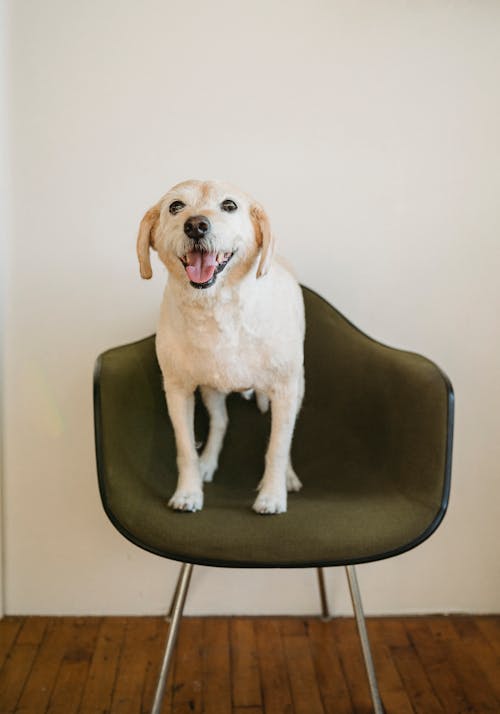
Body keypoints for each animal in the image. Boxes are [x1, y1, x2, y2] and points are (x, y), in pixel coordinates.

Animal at [135, 178, 304, 512]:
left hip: (297, 388)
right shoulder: (178, 390)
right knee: (221, 422)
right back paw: (208, 462)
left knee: (287, 434)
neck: (216, 310)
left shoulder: (285, 389)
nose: (196, 225)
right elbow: (185, 447)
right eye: (176, 206)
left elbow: (278, 447)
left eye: (229, 205)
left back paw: (289, 477)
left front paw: (272, 494)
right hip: (210, 390)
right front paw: (189, 491)